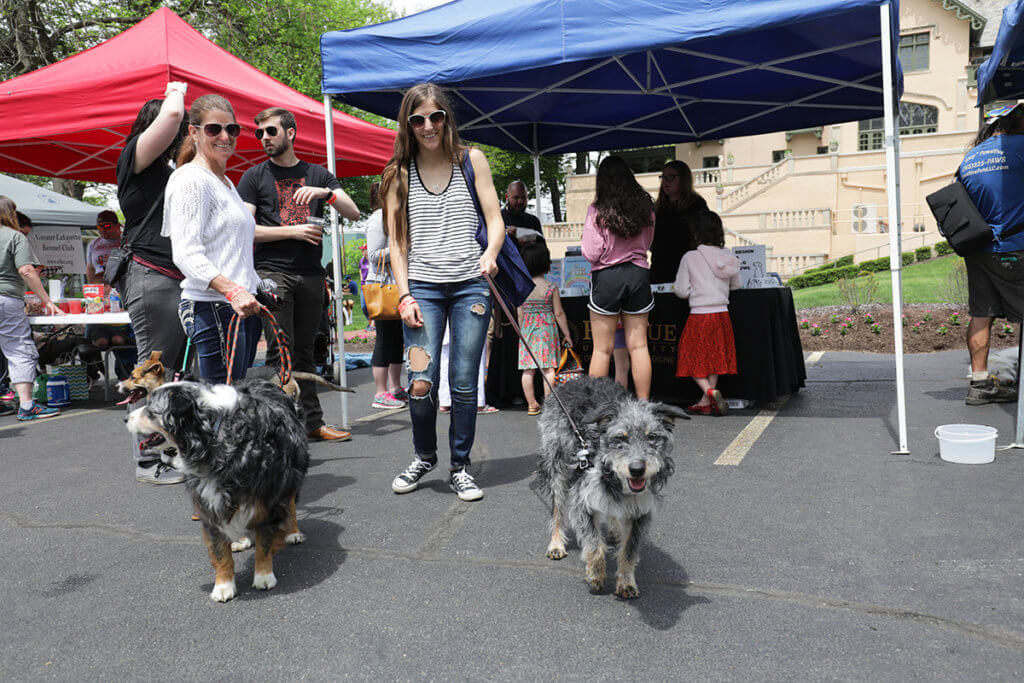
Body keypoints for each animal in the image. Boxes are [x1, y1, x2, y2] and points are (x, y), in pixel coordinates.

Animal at [124, 382, 307, 602]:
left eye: (151, 411)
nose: (125, 418)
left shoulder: (268, 500)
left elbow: (264, 544)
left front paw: (264, 576)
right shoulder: (208, 506)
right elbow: (221, 553)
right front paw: (223, 585)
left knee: (291, 505)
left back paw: (293, 533)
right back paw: (240, 540)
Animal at [536, 376, 688, 602]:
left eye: (652, 437)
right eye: (620, 438)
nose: (637, 469)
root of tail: (576, 379)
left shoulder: (641, 511)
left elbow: (629, 551)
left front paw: (626, 582)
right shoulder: (583, 501)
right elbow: (594, 545)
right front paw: (596, 575)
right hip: (556, 466)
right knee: (557, 510)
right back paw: (556, 544)